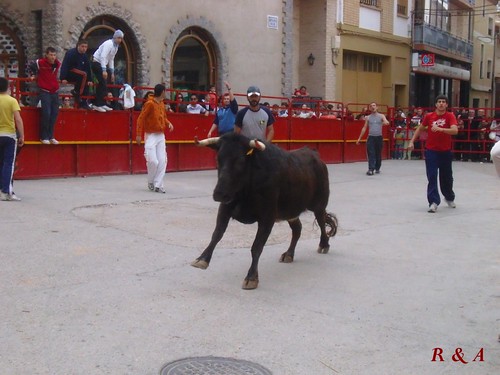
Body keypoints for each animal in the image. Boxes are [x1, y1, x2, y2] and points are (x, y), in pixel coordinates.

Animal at [189, 133, 338, 290]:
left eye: (240, 160)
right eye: (218, 159)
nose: (219, 194)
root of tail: (314, 155)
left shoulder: (267, 217)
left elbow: (257, 246)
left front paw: (251, 278)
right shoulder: (225, 208)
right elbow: (216, 235)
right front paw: (201, 260)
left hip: (319, 205)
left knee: (321, 222)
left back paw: (324, 245)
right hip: (290, 211)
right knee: (297, 229)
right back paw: (289, 254)